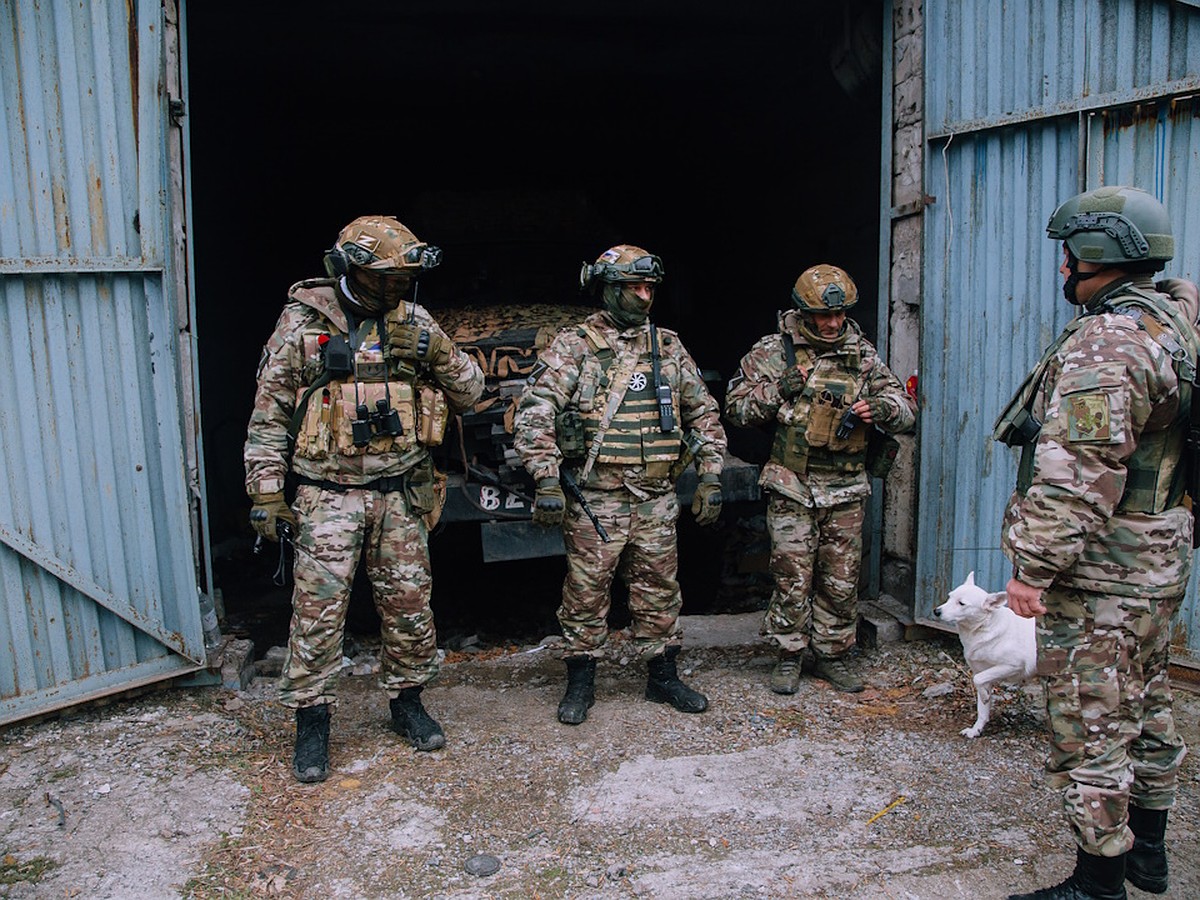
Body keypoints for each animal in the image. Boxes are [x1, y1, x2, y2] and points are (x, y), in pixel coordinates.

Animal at [931, 573, 1036, 734]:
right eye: (949, 597)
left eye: (961, 603)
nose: (936, 611)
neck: (984, 627)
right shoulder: (985, 672)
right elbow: (982, 708)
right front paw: (976, 730)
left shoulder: (1012, 665)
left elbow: (977, 680)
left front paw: (985, 696)